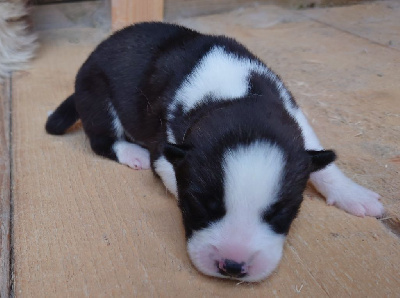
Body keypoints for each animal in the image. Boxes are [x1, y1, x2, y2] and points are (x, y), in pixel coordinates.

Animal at [47, 22, 384, 282]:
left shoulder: (297, 119)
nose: (233, 266)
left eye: (281, 212)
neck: (233, 96)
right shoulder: (166, 155)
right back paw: (132, 153)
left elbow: (322, 164)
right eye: (200, 204)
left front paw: (353, 194)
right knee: (101, 140)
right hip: (98, 97)